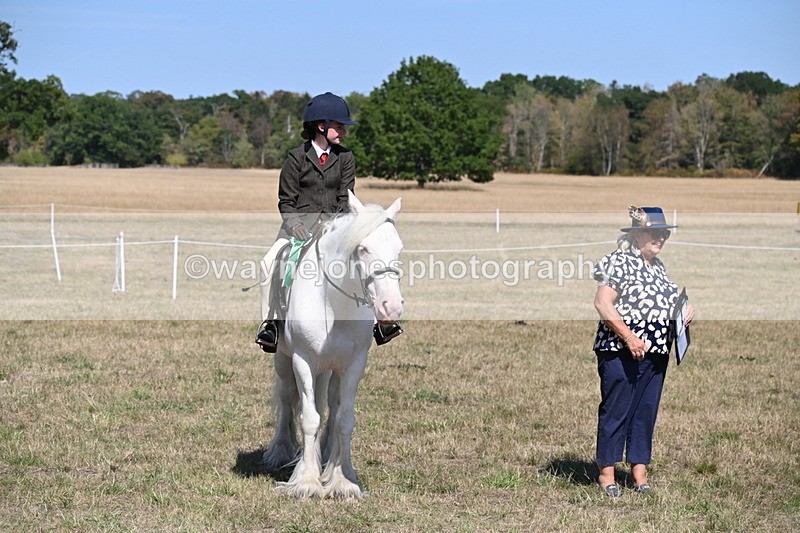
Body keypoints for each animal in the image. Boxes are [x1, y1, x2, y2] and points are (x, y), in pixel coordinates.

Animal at [262, 190, 404, 499]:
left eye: (399, 248)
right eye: (363, 248)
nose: (391, 307)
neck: (333, 304)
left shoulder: (354, 364)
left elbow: (344, 418)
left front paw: (343, 480)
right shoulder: (302, 360)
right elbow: (308, 417)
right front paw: (306, 482)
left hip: (331, 368)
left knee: (331, 404)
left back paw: (325, 455)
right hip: (284, 359)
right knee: (287, 397)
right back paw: (281, 451)